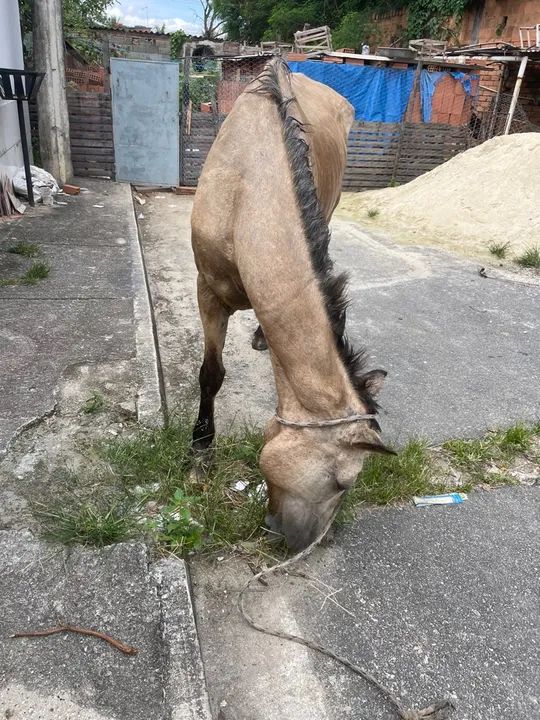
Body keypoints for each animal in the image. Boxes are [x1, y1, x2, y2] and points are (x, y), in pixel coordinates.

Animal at [190, 57, 392, 551]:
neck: (247, 191)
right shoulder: (207, 291)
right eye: (344, 482)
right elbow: (211, 374)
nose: (305, 542)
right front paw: (200, 448)